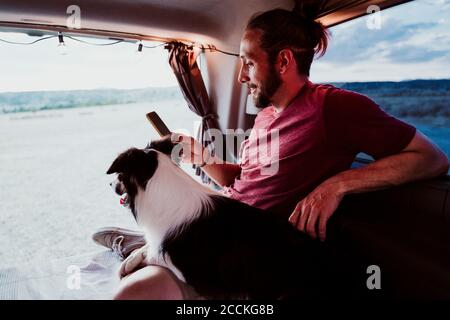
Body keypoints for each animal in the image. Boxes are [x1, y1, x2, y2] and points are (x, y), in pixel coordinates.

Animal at [107, 136, 334, 300]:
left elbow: (157, 253)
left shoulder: (195, 276)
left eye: (119, 176)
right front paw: (129, 260)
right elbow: (150, 246)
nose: (109, 184)